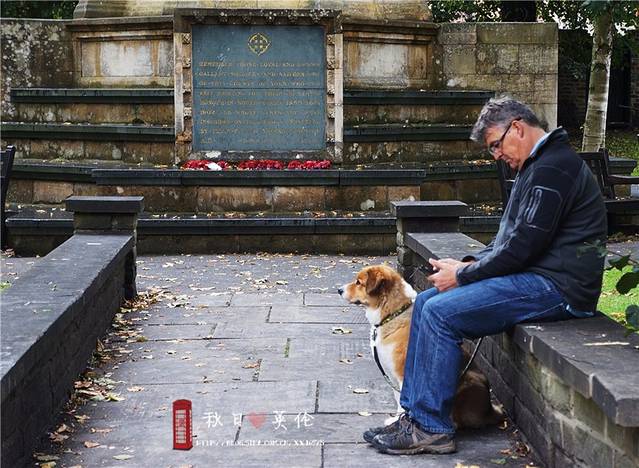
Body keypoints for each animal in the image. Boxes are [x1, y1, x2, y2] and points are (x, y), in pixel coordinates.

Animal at [338, 264, 503, 429]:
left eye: (359, 282)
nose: (339, 290)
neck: (392, 314)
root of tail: (489, 411)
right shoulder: (391, 374)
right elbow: (398, 397)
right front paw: (396, 419)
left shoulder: (403, 373)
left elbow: (402, 401)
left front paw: (400, 421)